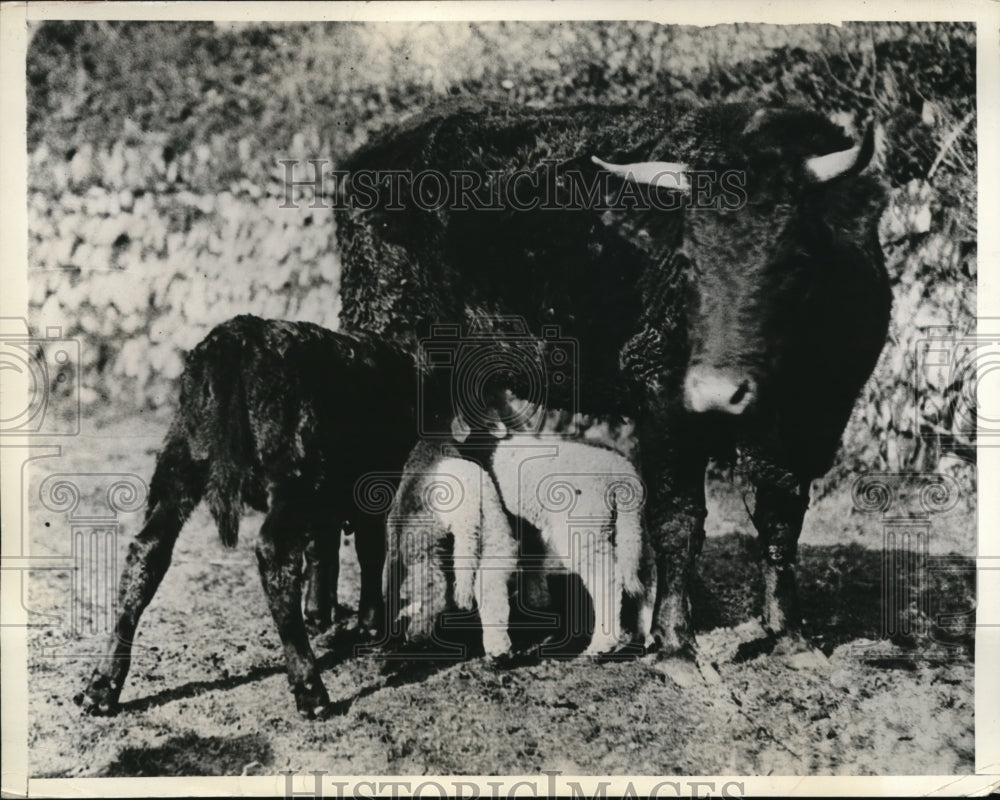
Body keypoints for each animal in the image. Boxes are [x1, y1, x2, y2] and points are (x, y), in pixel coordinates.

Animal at [334, 100, 891, 677]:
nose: (715, 392)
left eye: (795, 259)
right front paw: (676, 644)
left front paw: (790, 635)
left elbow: (781, 520)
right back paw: (371, 623)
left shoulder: (817, 420)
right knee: (371, 501)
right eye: (686, 262)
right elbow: (677, 523)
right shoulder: (665, 405)